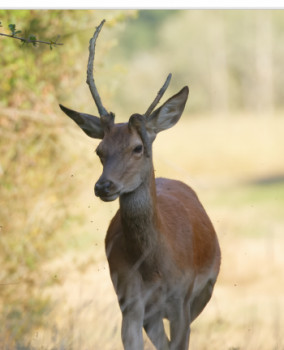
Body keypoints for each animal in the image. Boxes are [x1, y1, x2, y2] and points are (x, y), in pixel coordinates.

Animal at [60, 19, 222, 350]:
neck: (155, 268)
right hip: (151, 314)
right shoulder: (129, 302)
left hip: (204, 292)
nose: (103, 186)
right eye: (100, 150)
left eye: (138, 147)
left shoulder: (182, 300)